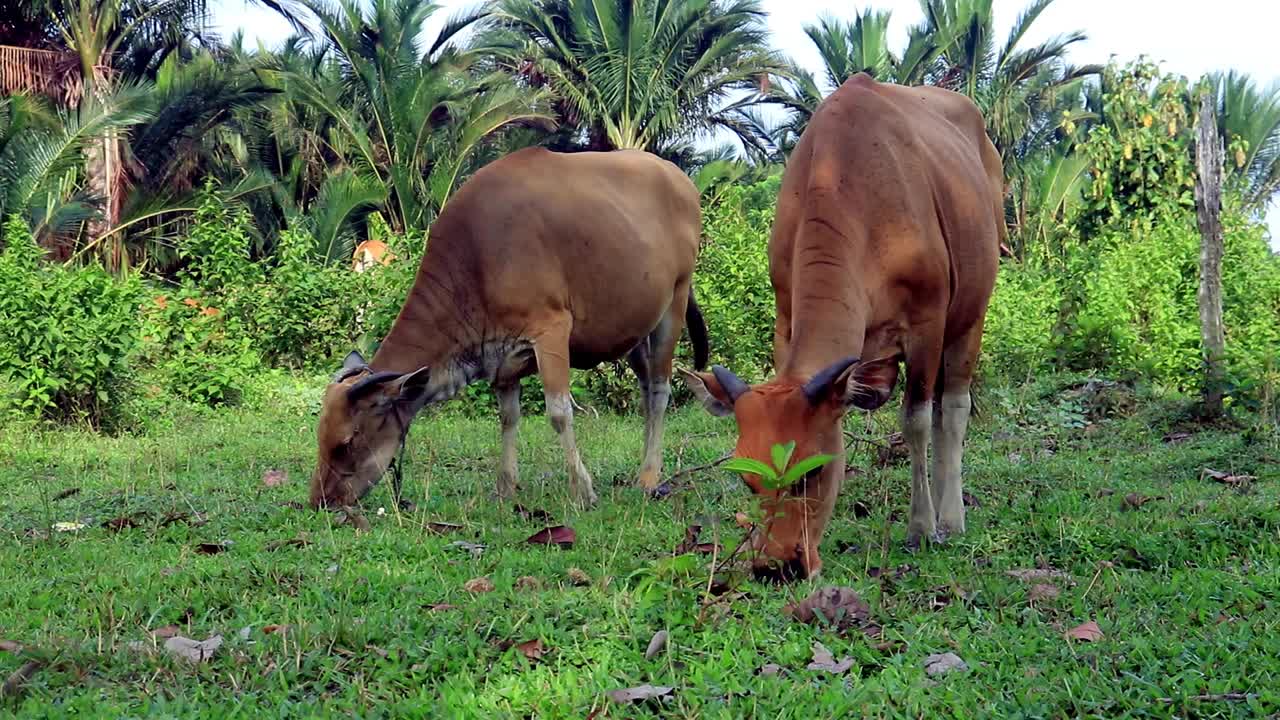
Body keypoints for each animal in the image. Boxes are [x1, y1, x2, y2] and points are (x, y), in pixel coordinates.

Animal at [309, 146, 711, 507]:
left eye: (346, 442)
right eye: (320, 436)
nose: (321, 501)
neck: (478, 258)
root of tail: (682, 181)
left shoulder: (551, 331)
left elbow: (559, 413)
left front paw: (582, 490)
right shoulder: (501, 355)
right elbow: (508, 417)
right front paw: (505, 486)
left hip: (674, 303)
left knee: (659, 390)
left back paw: (649, 476)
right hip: (635, 328)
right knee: (645, 389)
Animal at [680, 73, 998, 576]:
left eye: (814, 471)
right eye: (748, 482)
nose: (778, 568)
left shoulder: (927, 324)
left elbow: (916, 421)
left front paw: (922, 527)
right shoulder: (786, 320)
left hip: (972, 315)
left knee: (952, 408)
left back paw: (951, 517)